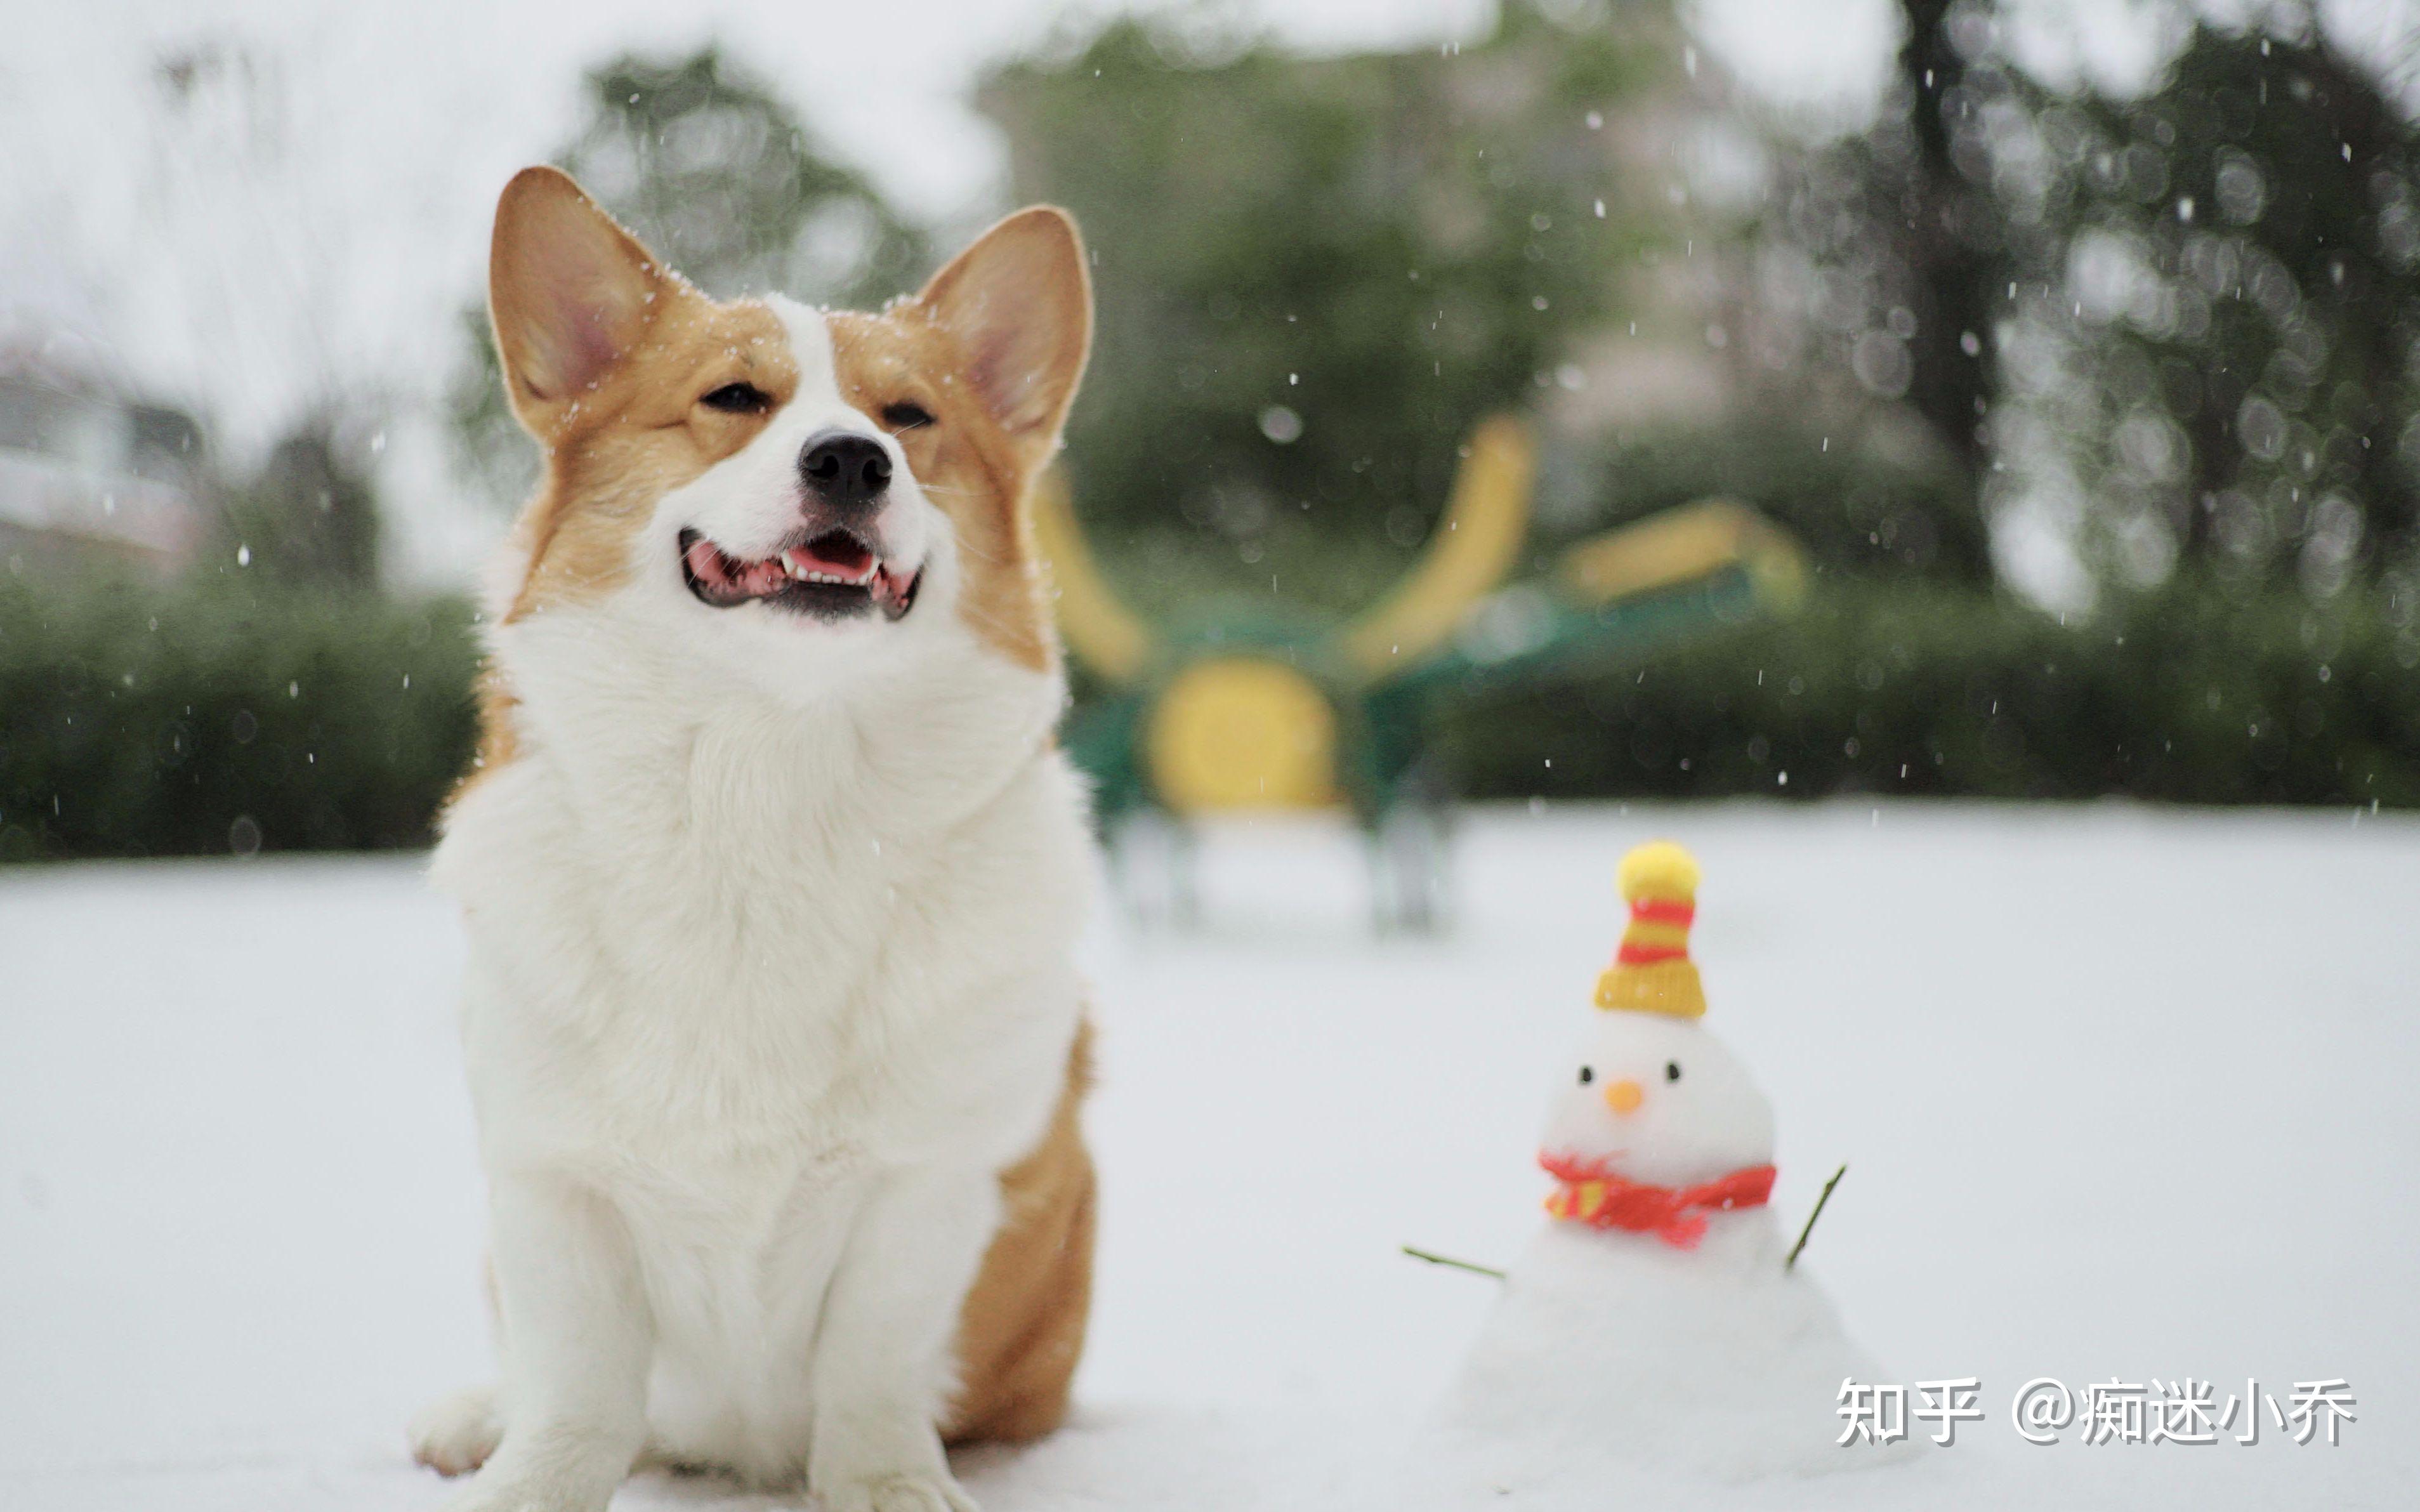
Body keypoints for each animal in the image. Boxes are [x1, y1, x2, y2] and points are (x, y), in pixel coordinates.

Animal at [414, 170, 1098, 1509]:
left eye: (908, 415)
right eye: (734, 399)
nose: (852, 459)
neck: (767, 769)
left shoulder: (926, 1180)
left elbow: (872, 1369)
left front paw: (889, 1486)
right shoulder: (554, 1177)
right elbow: (575, 1387)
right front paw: (526, 1481)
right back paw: (469, 1418)